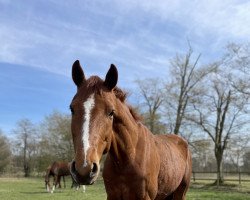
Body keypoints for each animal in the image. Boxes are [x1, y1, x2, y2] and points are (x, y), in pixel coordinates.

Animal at [69, 61, 192, 200]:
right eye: (72, 109)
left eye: (111, 112)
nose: (84, 168)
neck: (128, 158)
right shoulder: (112, 196)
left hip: (180, 193)